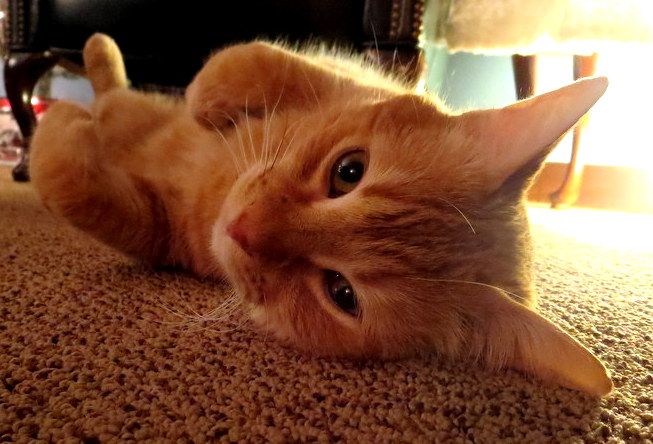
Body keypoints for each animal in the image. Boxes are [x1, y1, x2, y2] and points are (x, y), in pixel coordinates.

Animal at [29, 33, 612, 396]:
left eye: (342, 292)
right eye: (348, 171)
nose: (242, 227)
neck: (217, 187)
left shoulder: (159, 233)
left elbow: (69, 185)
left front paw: (59, 125)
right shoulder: (343, 77)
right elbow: (249, 59)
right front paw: (204, 100)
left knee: (114, 103)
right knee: (118, 92)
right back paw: (100, 54)